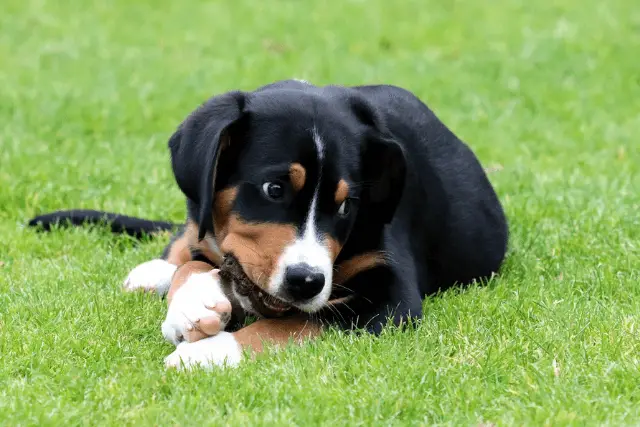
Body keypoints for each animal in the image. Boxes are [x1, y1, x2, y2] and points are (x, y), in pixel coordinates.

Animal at [28, 81, 510, 372]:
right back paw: (156, 272)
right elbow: (198, 259)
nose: (307, 281)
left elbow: (293, 324)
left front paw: (204, 352)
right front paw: (193, 304)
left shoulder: (392, 299)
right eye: (274, 189)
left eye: (346, 206)